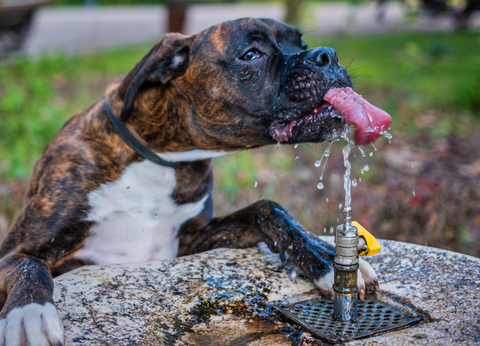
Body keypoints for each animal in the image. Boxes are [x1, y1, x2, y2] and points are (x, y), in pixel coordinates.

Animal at [0, 18, 378, 344]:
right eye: (250, 54)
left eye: (302, 44)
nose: (327, 55)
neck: (160, 158)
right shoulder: (17, 252)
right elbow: (31, 265)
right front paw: (30, 315)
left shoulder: (191, 241)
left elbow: (267, 209)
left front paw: (325, 258)